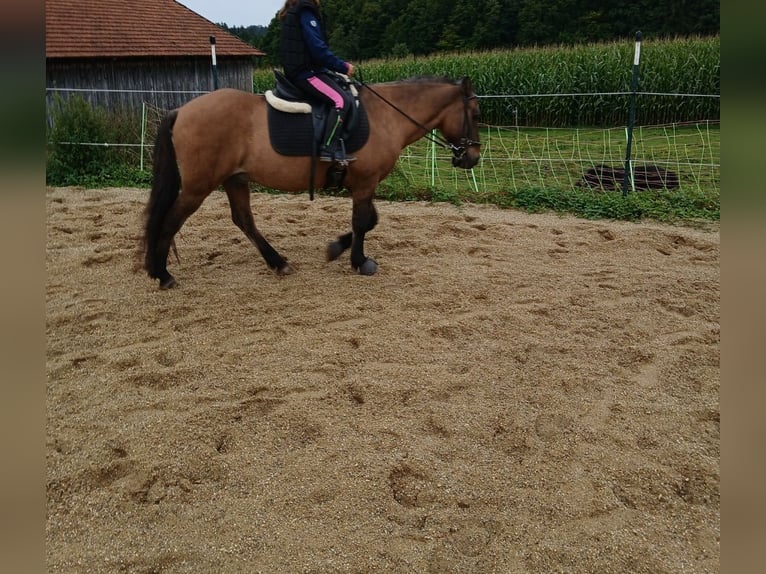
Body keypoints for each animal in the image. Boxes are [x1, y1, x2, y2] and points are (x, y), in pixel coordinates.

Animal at [141, 76, 482, 289]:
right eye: (476, 113)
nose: (473, 157)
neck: (386, 116)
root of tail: (180, 110)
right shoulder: (365, 183)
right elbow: (363, 221)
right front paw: (358, 261)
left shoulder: (364, 184)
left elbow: (371, 220)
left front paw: (336, 248)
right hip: (198, 187)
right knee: (169, 221)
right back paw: (162, 274)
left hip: (235, 179)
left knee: (244, 220)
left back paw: (277, 262)